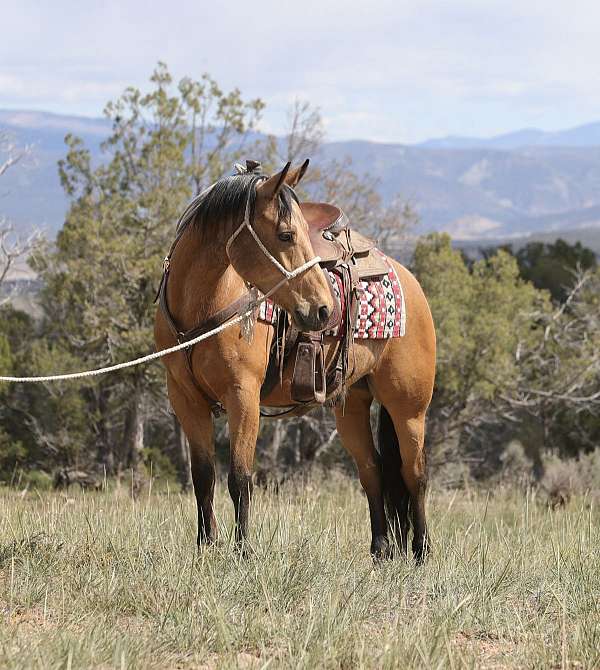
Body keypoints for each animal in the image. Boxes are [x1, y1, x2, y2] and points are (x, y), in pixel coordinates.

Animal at [154, 161, 436, 562]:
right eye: (286, 235)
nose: (323, 309)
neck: (203, 305)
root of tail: (408, 278)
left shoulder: (243, 396)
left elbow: (240, 477)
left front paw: (243, 552)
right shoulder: (185, 398)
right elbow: (204, 476)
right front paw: (206, 545)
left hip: (409, 408)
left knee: (415, 474)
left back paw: (422, 552)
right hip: (351, 405)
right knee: (373, 472)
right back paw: (380, 550)